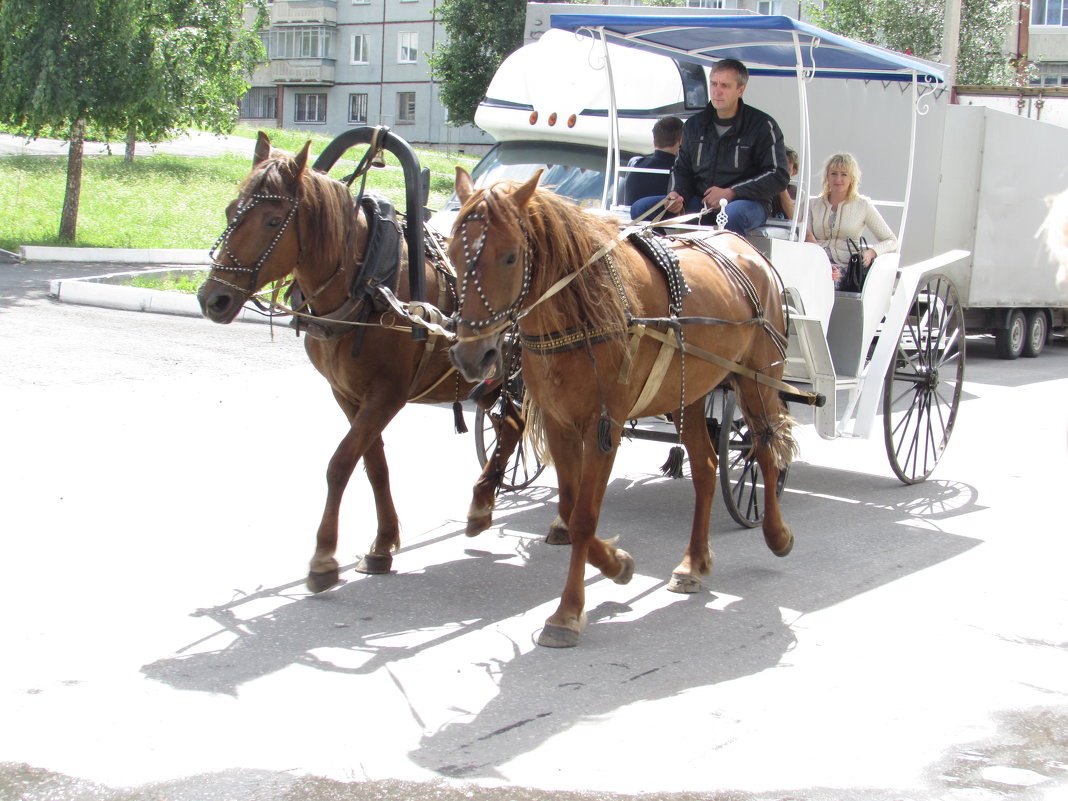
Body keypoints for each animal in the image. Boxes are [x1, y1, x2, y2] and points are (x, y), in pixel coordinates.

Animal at [198, 131, 523, 593]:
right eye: (230, 210)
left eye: (273, 221)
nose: (213, 299)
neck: (370, 282)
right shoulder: (348, 394)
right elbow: (373, 465)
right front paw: (383, 544)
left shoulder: (388, 395)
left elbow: (340, 464)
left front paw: (323, 557)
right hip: (493, 379)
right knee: (512, 425)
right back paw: (483, 502)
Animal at [446, 167, 798, 645]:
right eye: (451, 255)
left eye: (510, 257)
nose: (471, 355)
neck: (583, 312)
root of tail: (747, 249)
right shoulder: (559, 424)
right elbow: (569, 507)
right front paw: (615, 564)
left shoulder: (604, 427)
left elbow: (583, 517)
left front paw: (568, 612)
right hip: (688, 394)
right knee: (706, 468)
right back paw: (693, 562)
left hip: (757, 380)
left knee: (764, 448)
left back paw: (776, 535)